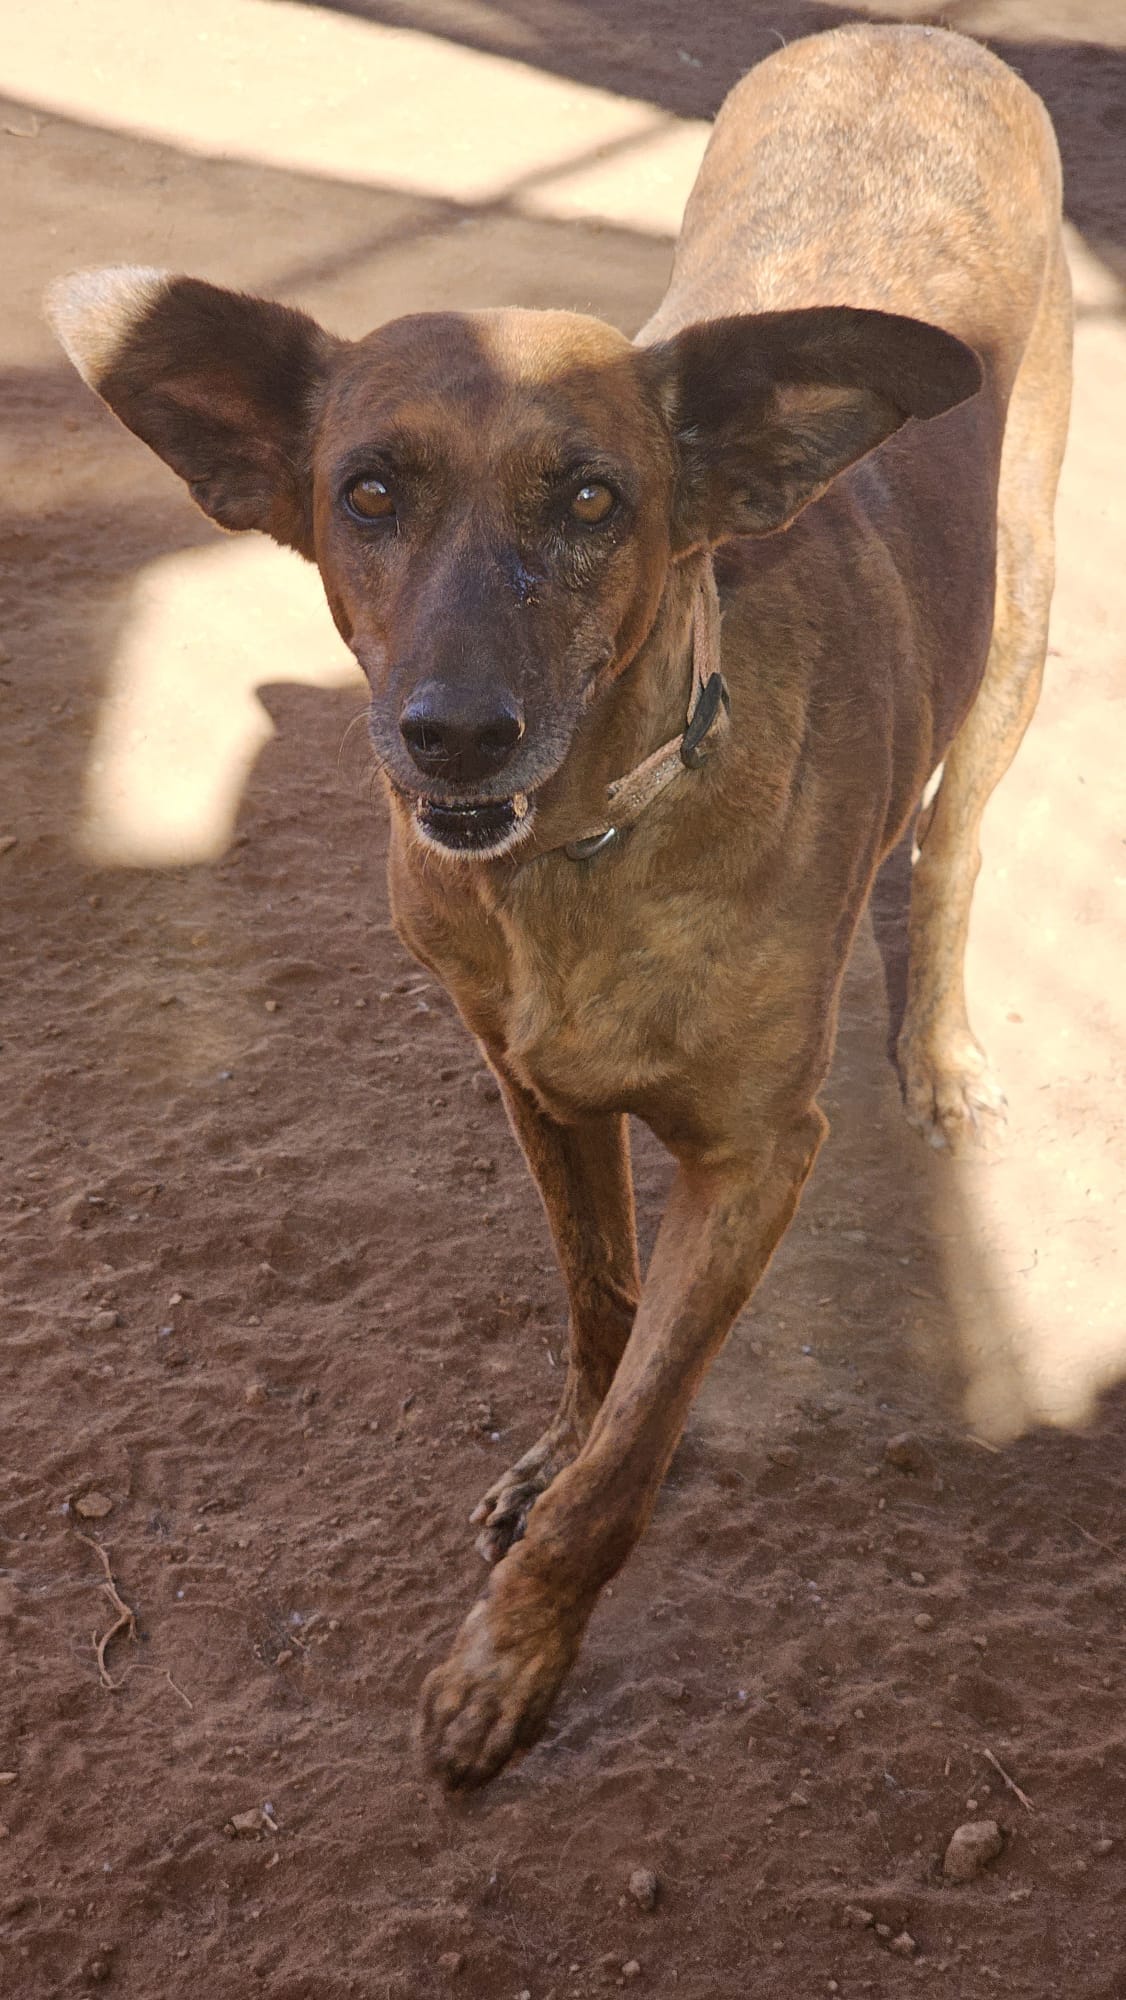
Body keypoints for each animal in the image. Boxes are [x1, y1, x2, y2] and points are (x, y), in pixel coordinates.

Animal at [49, 22, 1071, 1790]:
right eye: (366, 493)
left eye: (595, 502)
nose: (453, 735)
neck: (584, 859)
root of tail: (908, 32)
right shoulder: (532, 1091)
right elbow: (599, 1310)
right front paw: (554, 1447)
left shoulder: (756, 1158)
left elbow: (633, 1452)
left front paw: (508, 1659)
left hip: (1020, 618)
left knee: (950, 855)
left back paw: (940, 1056)